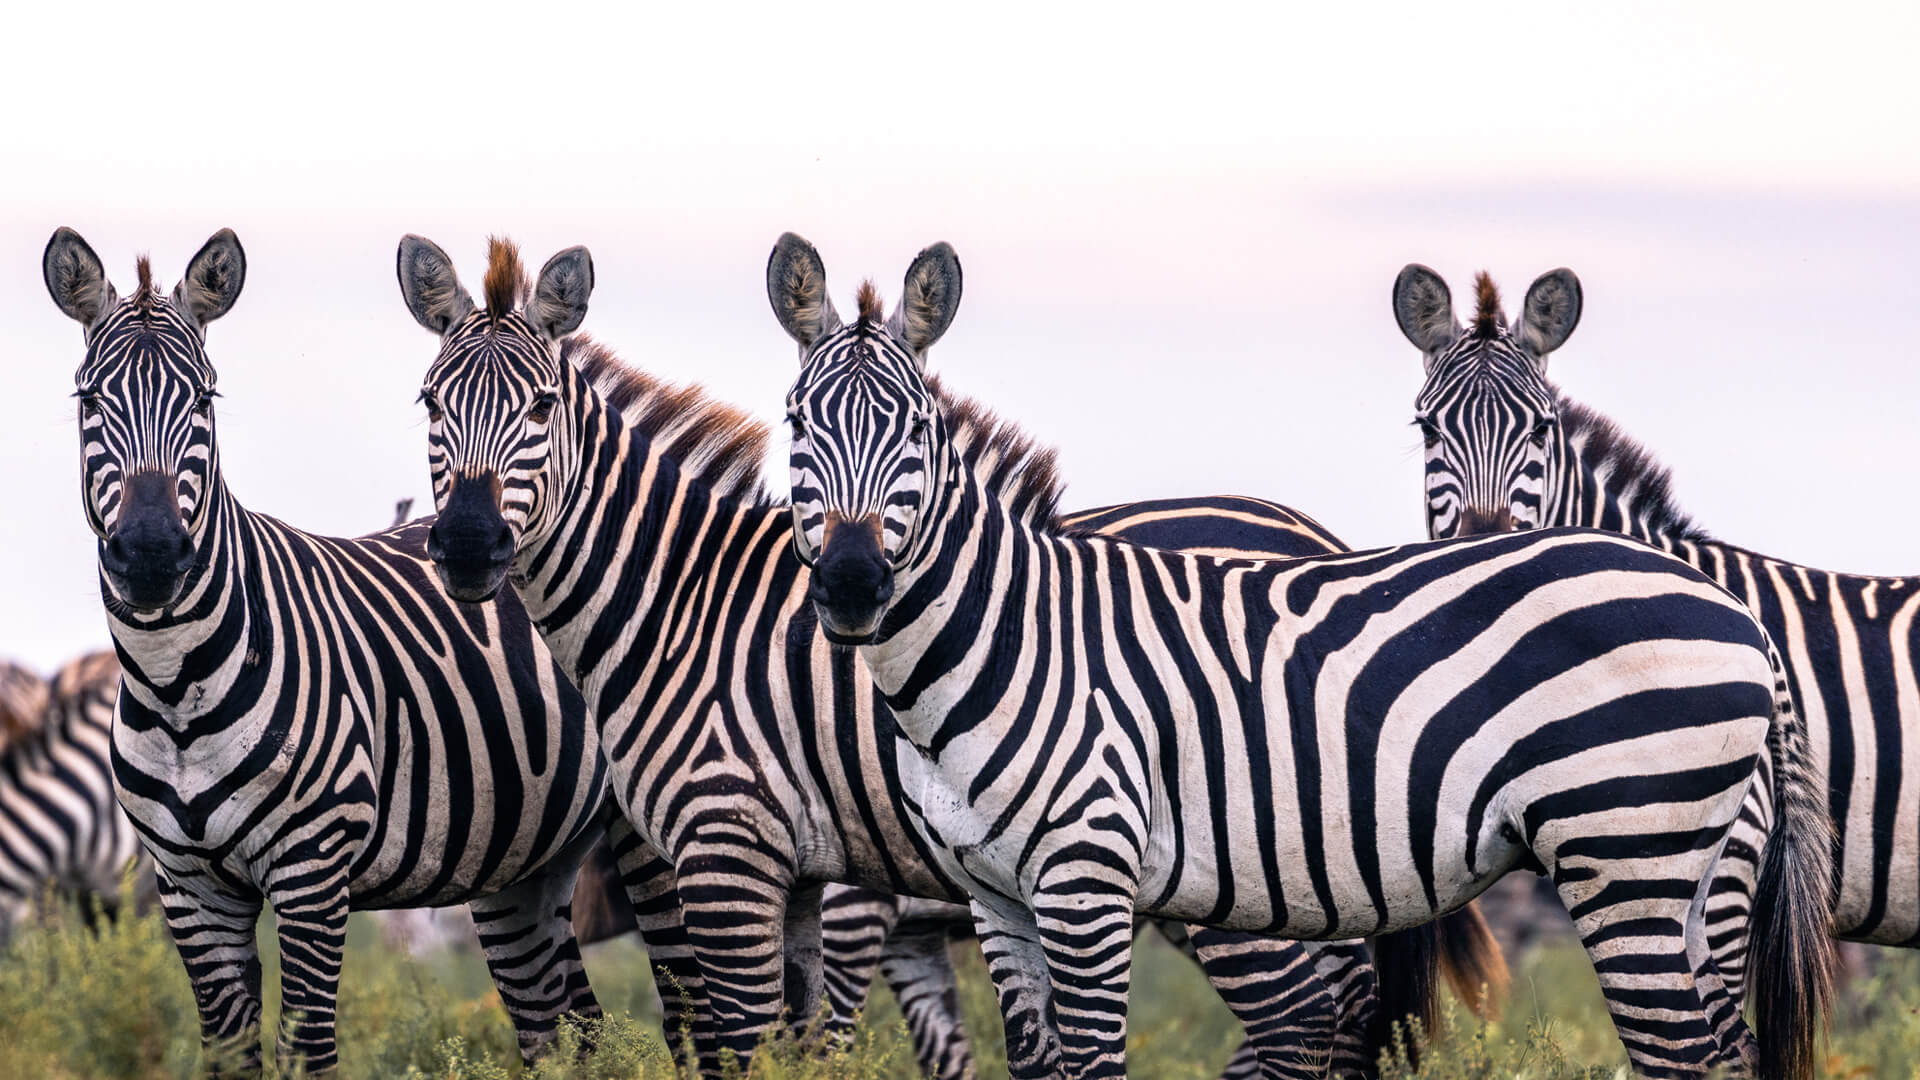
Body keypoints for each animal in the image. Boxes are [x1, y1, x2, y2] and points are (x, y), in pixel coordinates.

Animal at [38, 227, 693, 1075]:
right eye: (88, 400)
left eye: (205, 400)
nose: (150, 555)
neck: (175, 682)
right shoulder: (187, 886)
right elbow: (230, 1053)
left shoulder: (312, 870)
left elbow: (308, 1050)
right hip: (525, 858)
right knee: (570, 1030)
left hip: (657, 836)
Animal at [394, 235, 1497, 1079]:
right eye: (428, 405)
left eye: (541, 409)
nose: (467, 548)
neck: (682, 603)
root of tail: (1315, 533)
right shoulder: (813, 874)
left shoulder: (725, 851)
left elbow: (736, 1041)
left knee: (1303, 1027)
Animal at [772, 233, 1837, 1080]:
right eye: (794, 423)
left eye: (919, 428)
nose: (854, 584)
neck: (1006, 636)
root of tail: (1738, 613)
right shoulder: (996, 896)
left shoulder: (1085, 875)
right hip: (1702, 872)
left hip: (1626, 852)